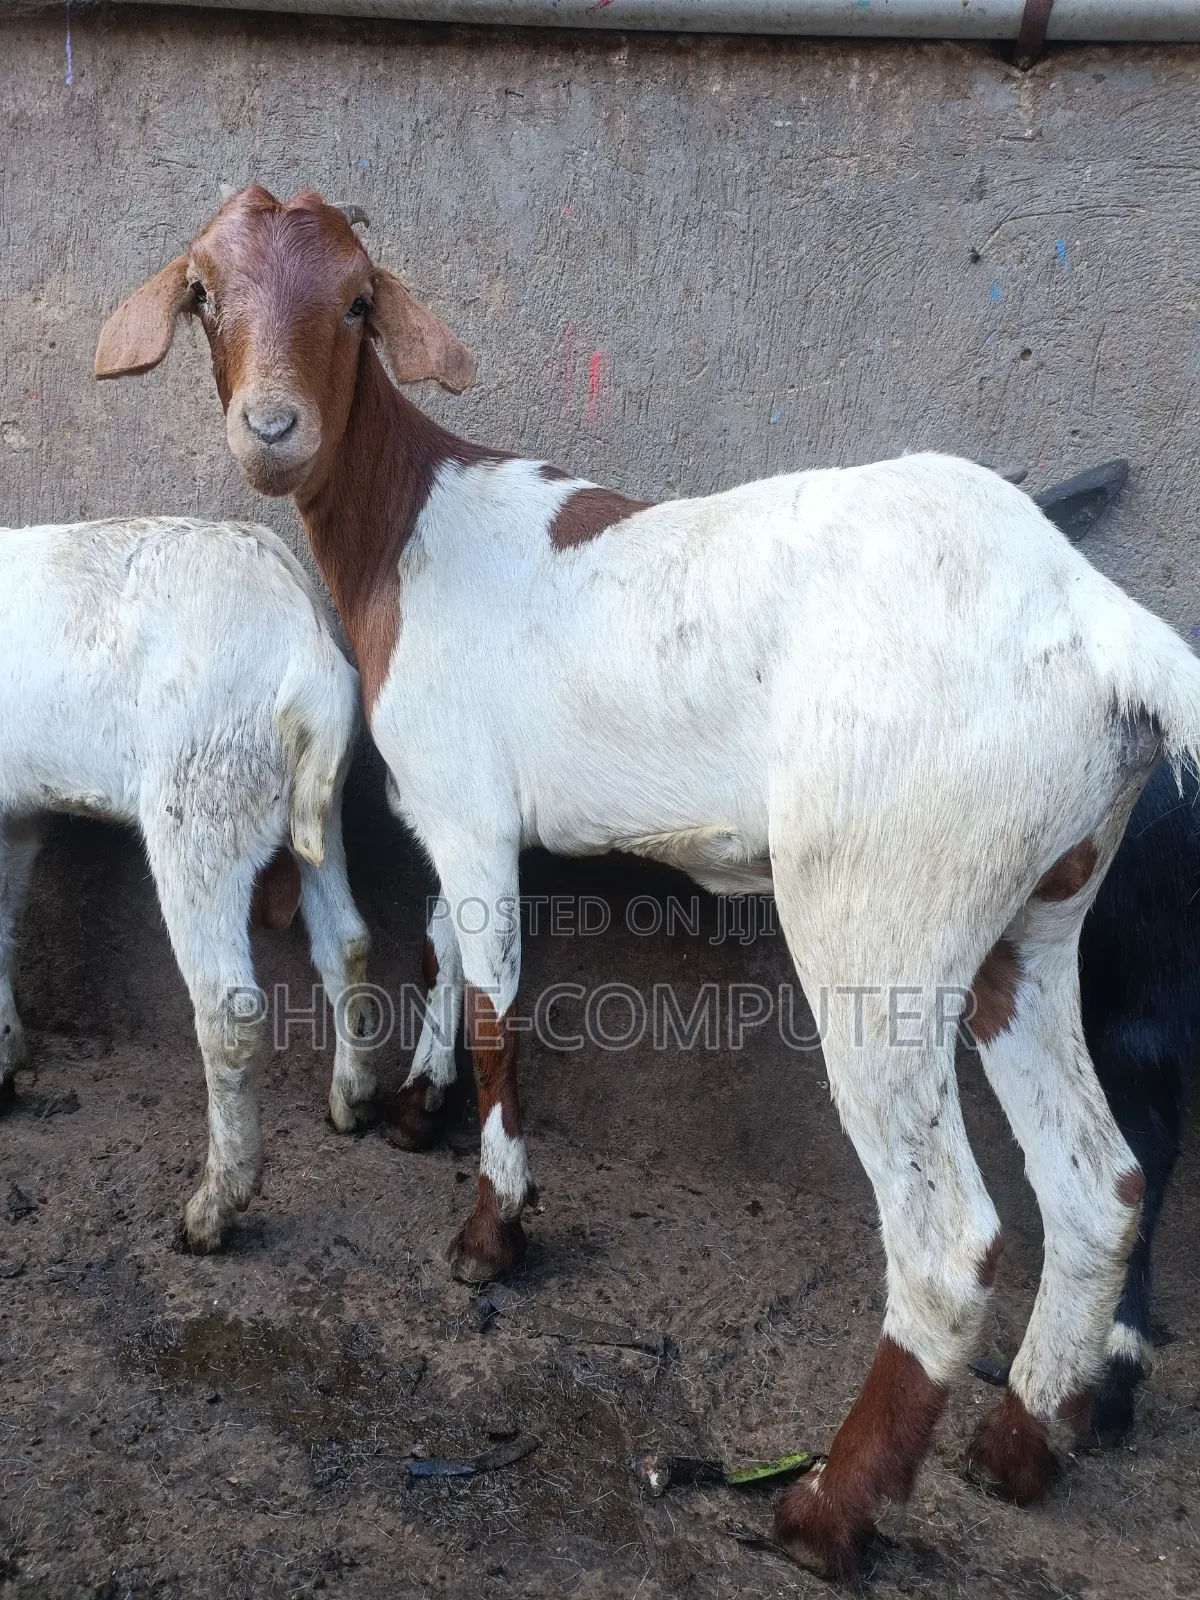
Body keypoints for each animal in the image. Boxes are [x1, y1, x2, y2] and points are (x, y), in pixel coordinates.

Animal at [0, 514, 376, 1251]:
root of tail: (307, 648)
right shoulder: (17, 812)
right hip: (318, 807)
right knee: (346, 941)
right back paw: (352, 1101)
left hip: (199, 802)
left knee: (229, 1009)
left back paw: (213, 1208)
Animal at [94, 184, 1200, 1581]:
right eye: (204, 295)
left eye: (354, 302)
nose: (274, 431)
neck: (411, 523)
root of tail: (1103, 628)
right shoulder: (461, 813)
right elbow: (443, 948)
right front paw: (415, 1109)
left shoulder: (467, 798)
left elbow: (500, 1005)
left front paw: (492, 1232)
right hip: (1035, 904)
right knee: (1101, 1183)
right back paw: (1021, 1447)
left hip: (886, 897)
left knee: (948, 1240)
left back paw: (825, 1514)